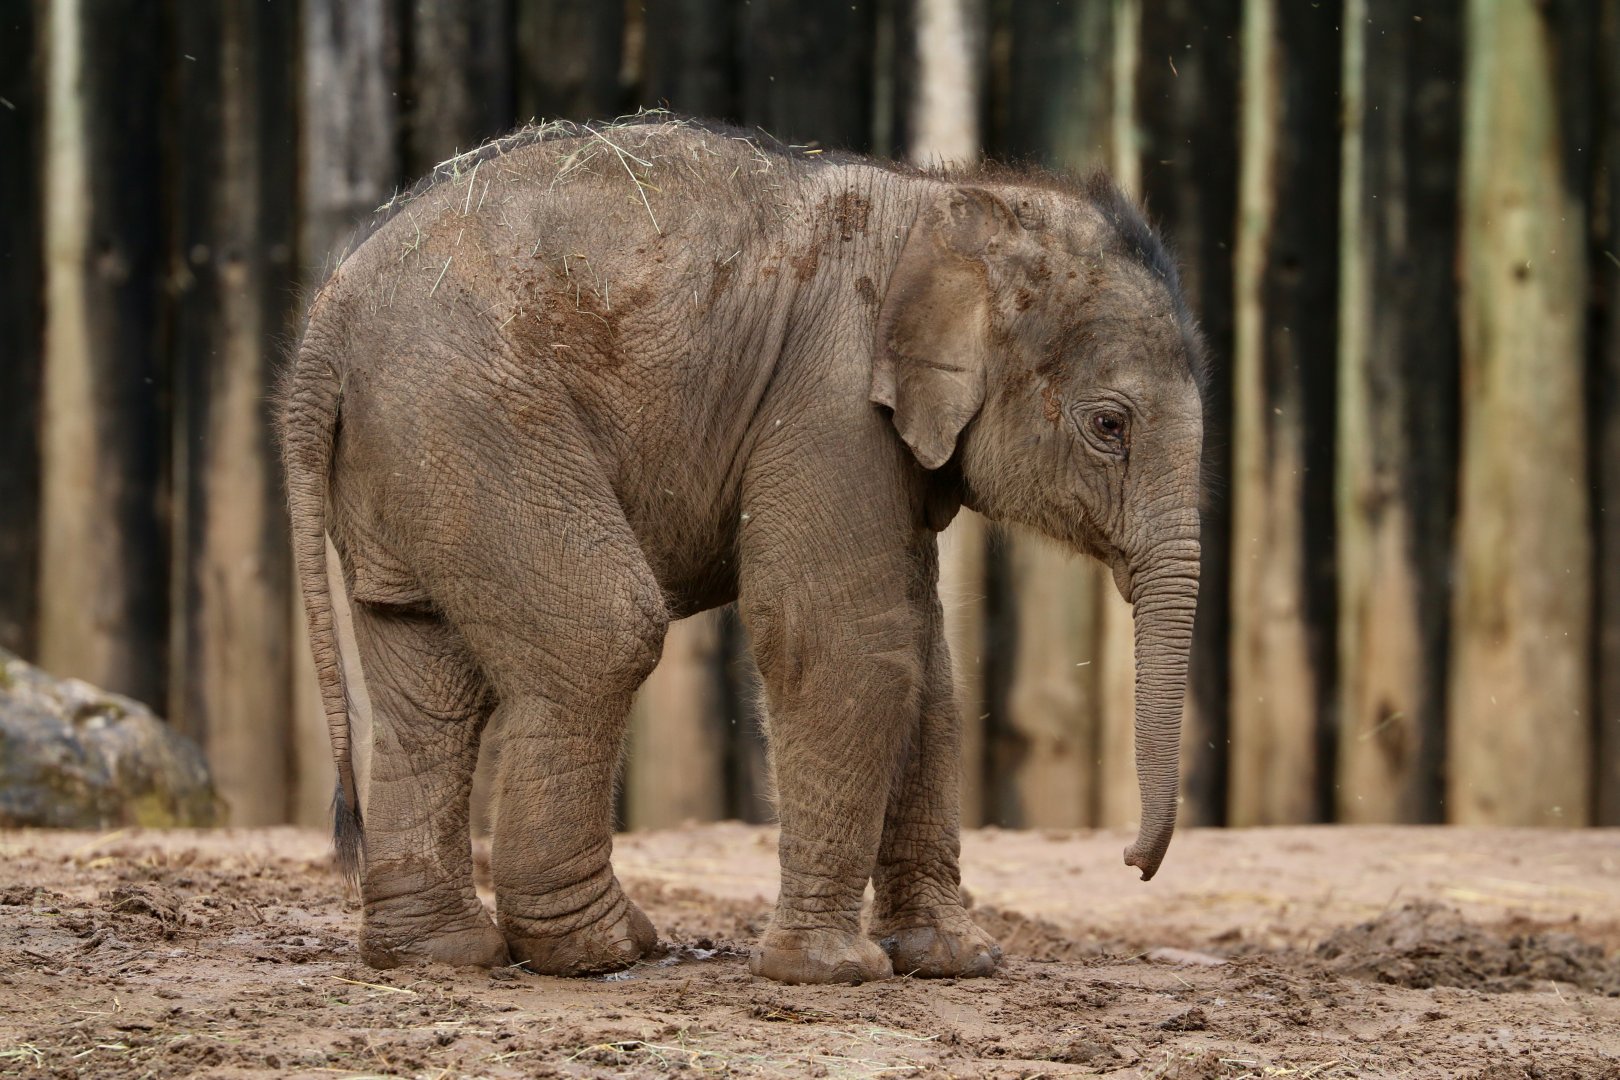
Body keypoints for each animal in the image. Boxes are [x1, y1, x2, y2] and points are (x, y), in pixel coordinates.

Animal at [278, 117, 1204, 986]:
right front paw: (833, 972)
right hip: (474, 419)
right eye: (1109, 426)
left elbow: (926, 661)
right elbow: (842, 639)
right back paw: (603, 948)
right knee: (601, 636)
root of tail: (318, 332)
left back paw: (442, 952)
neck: (946, 201)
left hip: (412, 456)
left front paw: (953, 960)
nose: (1131, 861)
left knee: (427, 681)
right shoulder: (830, 398)